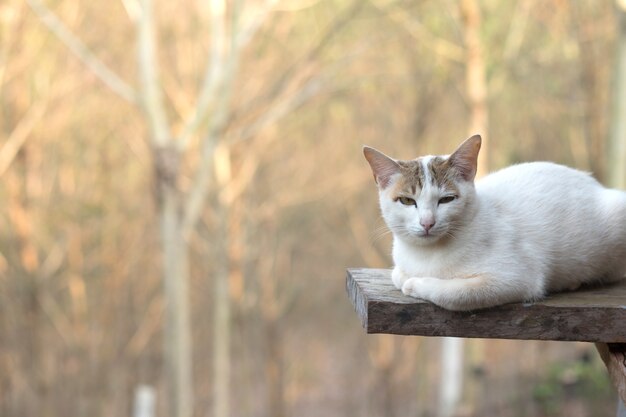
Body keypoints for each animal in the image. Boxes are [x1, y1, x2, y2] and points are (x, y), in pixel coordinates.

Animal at [360, 135, 624, 310]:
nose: (427, 223)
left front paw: (415, 284)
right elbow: (397, 274)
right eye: (407, 200)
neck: (427, 255)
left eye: (446, 199)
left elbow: (455, 294)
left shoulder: (516, 279)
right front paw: (406, 277)